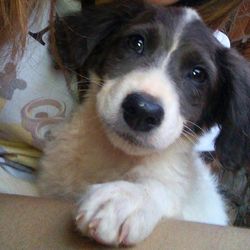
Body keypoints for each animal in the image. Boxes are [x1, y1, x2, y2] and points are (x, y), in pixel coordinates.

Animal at [37, 0, 250, 246]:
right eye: (136, 43)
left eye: (198, 74)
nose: (142, 110)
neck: (113, 157)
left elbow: (162, 189)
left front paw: (127, 199)